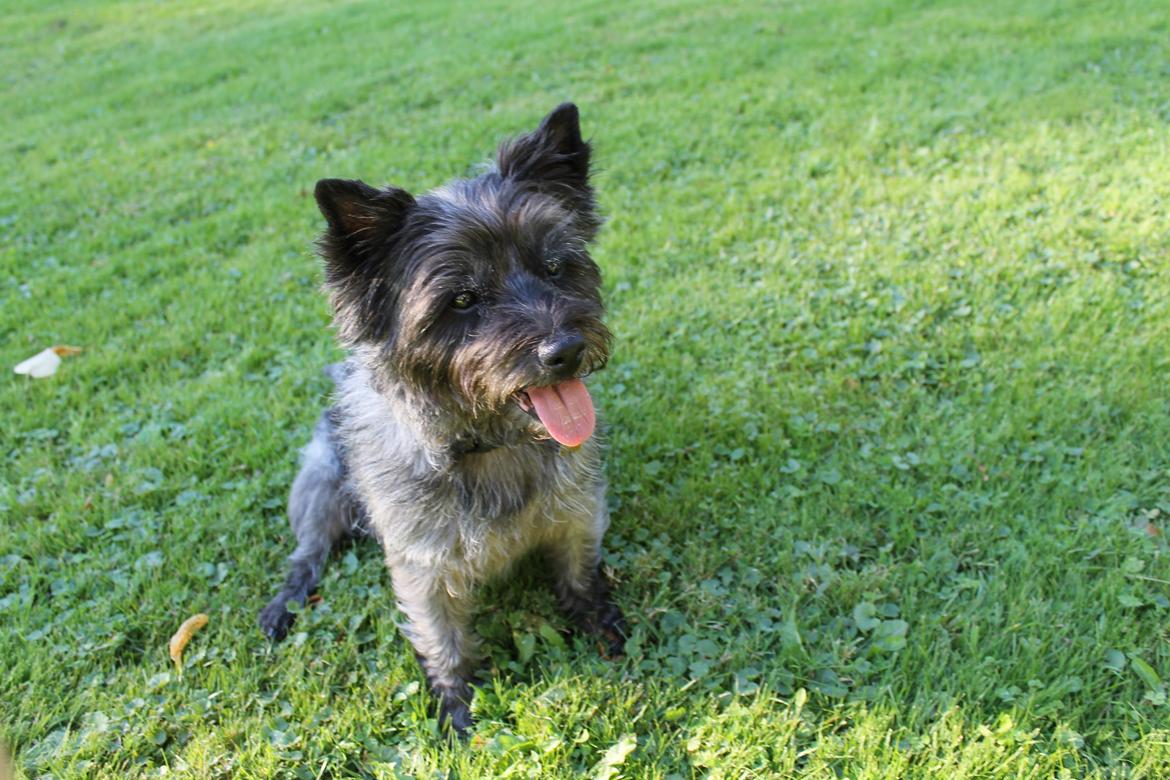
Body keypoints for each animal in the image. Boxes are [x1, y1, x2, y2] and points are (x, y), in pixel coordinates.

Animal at [255, 102, 622, 734]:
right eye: (463, 300)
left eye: (555, 267)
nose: (566, 349)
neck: (487, 448)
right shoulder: (421, 565)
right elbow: (441, 635)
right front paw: (456, 707)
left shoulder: (577, 514)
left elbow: (580, 574)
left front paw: (602, 626)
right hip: (321, 481)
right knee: (307, 552)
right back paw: (286, 602)